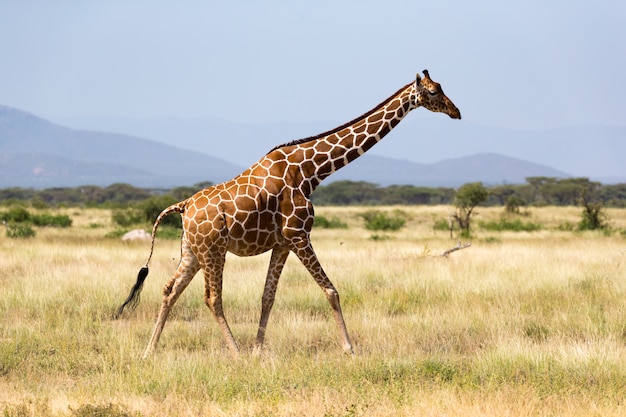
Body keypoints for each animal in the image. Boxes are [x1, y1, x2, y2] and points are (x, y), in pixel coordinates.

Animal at [116, 70, 458, 356]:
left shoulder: (282, 243)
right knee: (212, 298)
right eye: (434, 91)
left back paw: (149, 351)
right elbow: (331, 290)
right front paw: (349, 349)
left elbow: (268, 296)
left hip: (192, 251)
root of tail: (183, 206)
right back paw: (235, 353)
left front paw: (258, 350)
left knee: (169, 290)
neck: (311, 171)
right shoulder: (299, 234)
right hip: (213, 250)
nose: (456, 111)